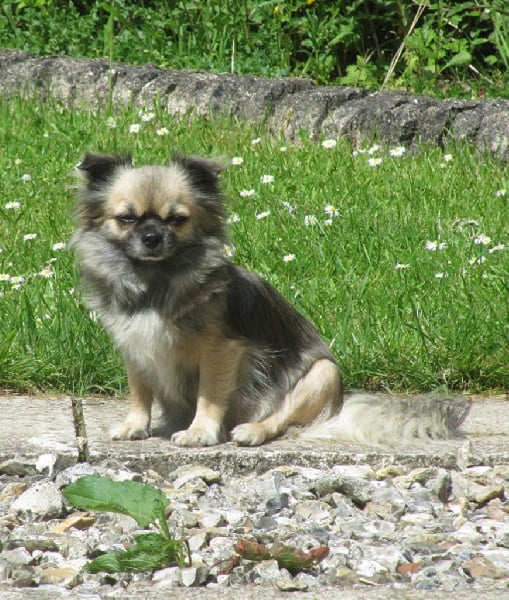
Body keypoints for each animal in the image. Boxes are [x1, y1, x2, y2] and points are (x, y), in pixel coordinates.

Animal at [70, 152, 468, 448]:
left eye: (177, 220)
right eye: (126, 218)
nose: (152, 236)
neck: (155, 282)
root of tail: (338, 408)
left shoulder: (219, 350)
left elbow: (208, 394)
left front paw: (199, 432)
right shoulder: (135, 348)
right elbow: (140, 392)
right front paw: (135, 426)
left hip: (322, 374)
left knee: (278, 420)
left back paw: (252, 430)